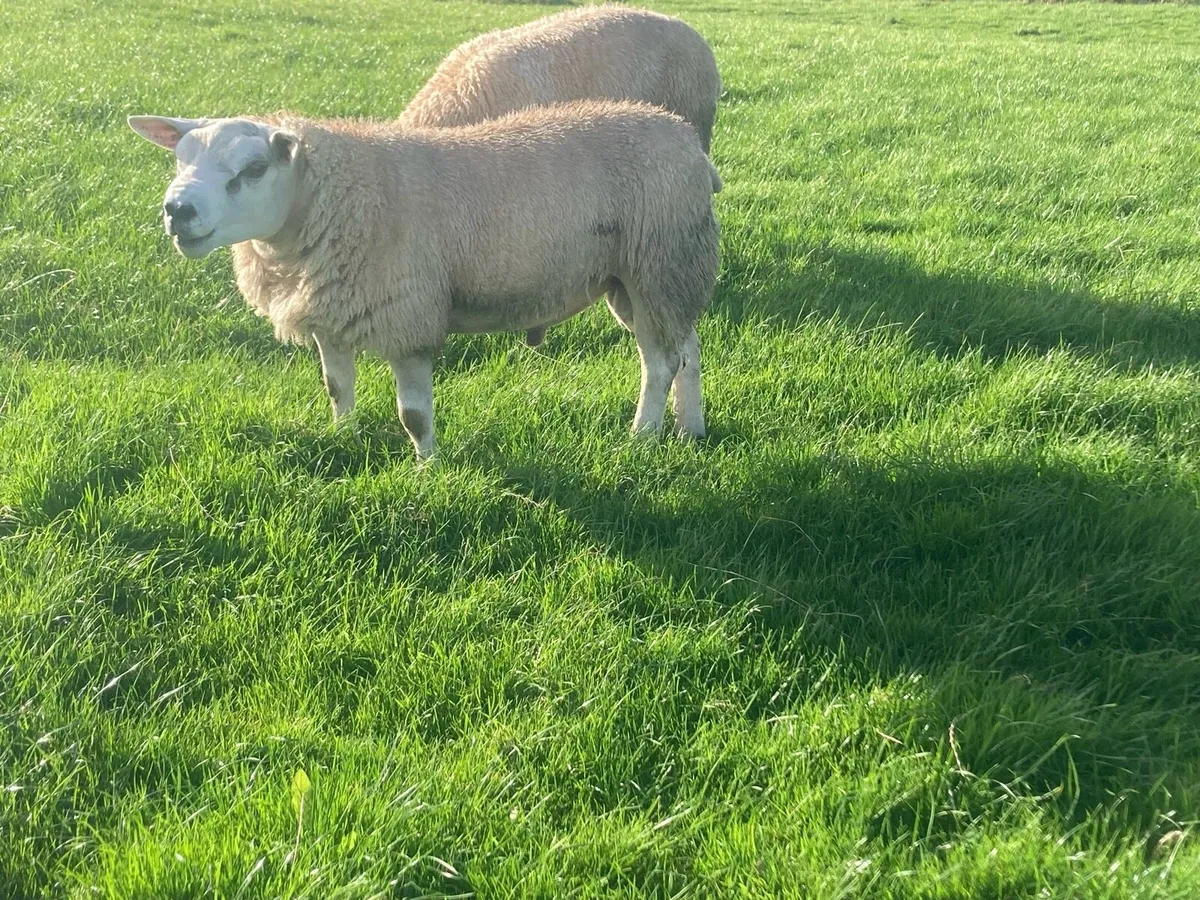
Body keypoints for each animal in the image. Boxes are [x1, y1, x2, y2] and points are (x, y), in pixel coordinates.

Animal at [127, 103, 721, 461]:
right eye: (179, 159)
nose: (177, 210)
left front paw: (427, 467)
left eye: (252, 170)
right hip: (655, 274)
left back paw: (641, 438)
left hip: (658, 261)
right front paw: (344, 437)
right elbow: (337, 387)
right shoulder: (332, 317)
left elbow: (413, 415)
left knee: (660, 362)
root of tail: (684, 136)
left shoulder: (407, 317)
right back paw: (689, 428)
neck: (336, 199)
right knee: (685, 350)